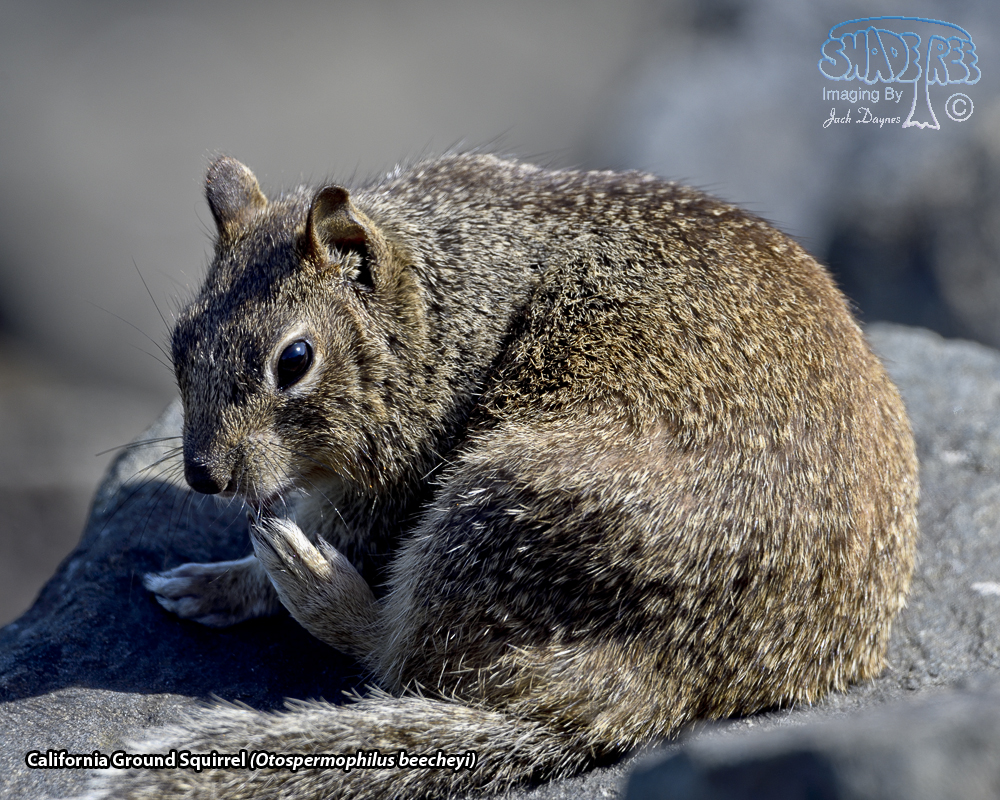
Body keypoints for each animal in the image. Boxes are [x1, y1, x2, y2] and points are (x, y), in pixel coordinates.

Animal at [88, 153, 919, 799]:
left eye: (294, 360)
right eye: (180, 338)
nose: (202, 474)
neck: (439, 297)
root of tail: (669, 689)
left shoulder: (394, 480)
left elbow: (326, 545)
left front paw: (226, 576)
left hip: (489, 503)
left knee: (399, 659)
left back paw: (311, 579)